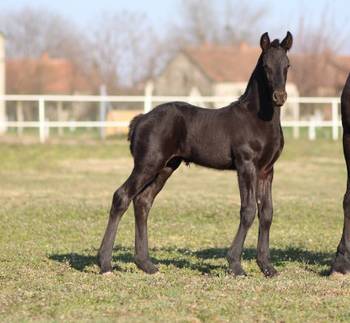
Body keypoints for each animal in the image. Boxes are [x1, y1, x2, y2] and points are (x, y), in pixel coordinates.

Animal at [97, 31, 294, 278]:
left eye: (287, 65)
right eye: (266, 66)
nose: (280, 97)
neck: (257, 119)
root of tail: (141, 119)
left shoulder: (267, 170)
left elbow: (266, 213)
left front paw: (267, 267)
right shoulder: (246, 166)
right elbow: (248, 210)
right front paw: (235, 265)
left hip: (166, 167)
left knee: (142, 202)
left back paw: (146, 264)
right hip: (147, 164)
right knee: (122, 196)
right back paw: (105, 263)